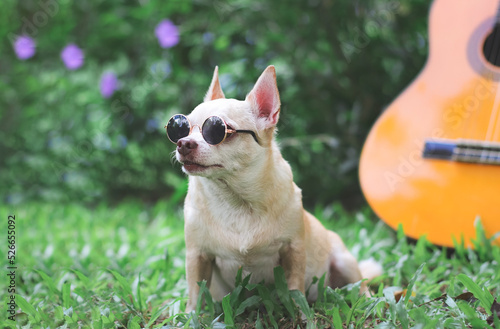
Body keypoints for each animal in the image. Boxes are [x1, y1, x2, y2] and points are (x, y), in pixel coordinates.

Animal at [169, 64, 382, 310]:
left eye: (216, 130)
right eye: (180, 129)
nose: (183, 143)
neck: (235, 199)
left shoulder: (293, 250)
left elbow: (295, 289)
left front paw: (300, 313)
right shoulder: (197, 257)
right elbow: (195, 296)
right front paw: (191, 315)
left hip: (344, 261)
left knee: (361, 286)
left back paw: (369, 302)